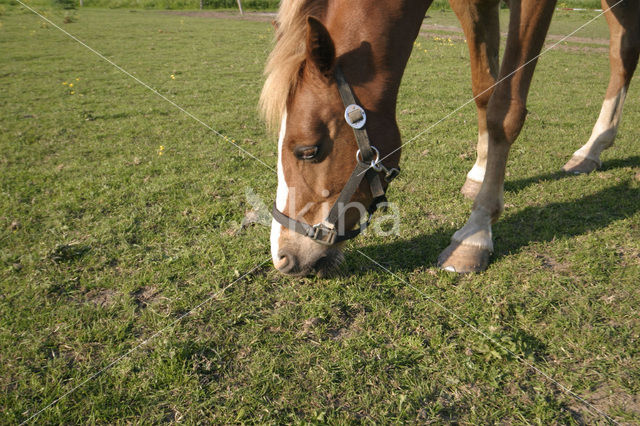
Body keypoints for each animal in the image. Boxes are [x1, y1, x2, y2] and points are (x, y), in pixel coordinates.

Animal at [258, 0, 636, 276]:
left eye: (308, 151)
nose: (282, 258)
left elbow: (504, 109)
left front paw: (475, 233)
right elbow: (485, 90)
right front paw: (480, 172)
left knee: (623, 53)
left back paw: (592, 148)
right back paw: (591, 150)